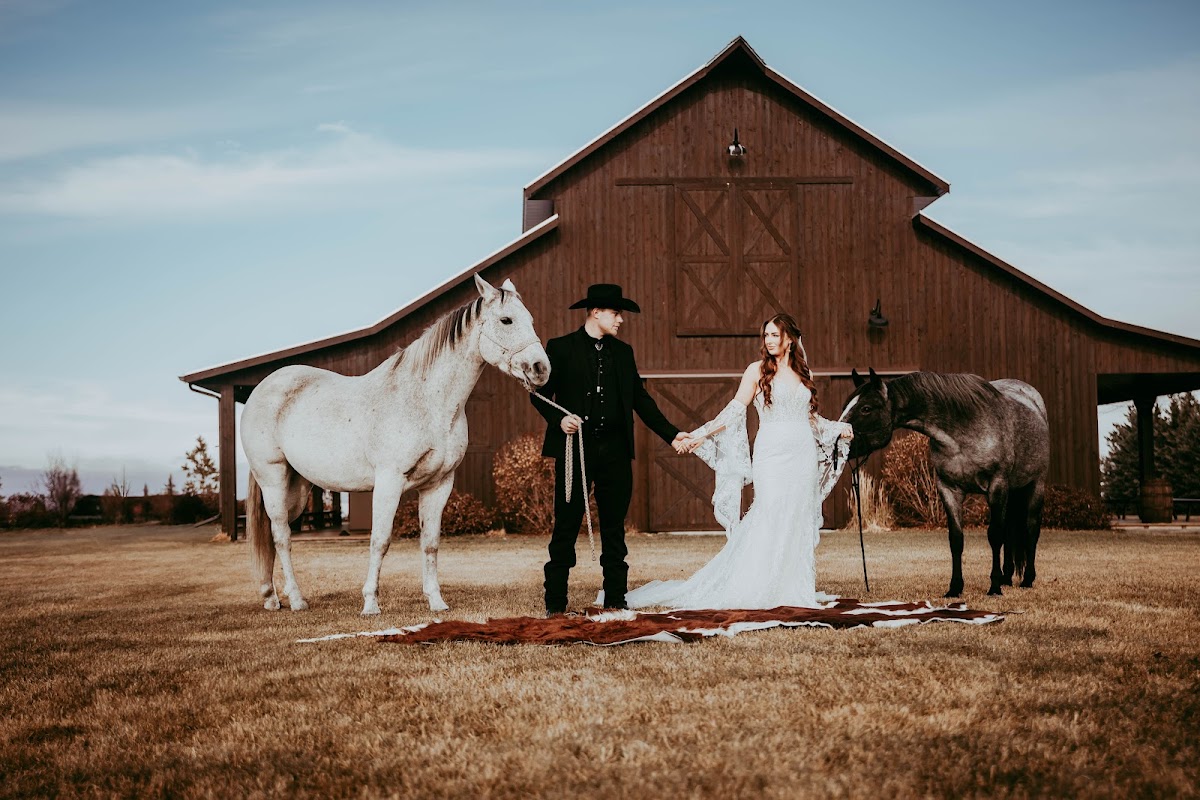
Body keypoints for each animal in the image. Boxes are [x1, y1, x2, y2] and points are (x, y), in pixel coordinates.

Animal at [240, 274, 549, 615]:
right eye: (506, 320)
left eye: (530, 320)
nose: (541, 368)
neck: (427, 401)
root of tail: (262, 389)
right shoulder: (389, 481)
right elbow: (380, 540)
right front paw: (371, 603)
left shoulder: (439, 484)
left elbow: (430, 543)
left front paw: (436, 601)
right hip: (273, 478)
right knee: (281, 536)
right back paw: (296, 600)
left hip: (297, 487)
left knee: (275, 537)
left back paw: (271, 597)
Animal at [839, 369, 1049, 597]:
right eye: (846, 406)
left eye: (866, 408)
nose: (836, 442)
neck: (963, 432)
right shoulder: (948, 489)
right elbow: (956, 539)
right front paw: (955, 588)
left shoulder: (997, 486)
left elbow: (995, 535)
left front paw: (993, 587)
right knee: (1010, 531)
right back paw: (1007, 578)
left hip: (1036, 485)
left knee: (1030, 529)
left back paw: (1026, 579)